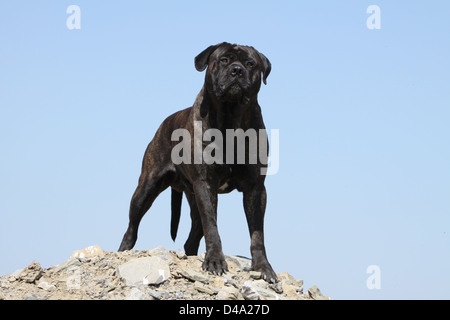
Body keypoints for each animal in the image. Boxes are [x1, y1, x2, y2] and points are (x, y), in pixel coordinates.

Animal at [118, 42, 276, 282]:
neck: (230, 119)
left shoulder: (255, 188)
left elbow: (257, 233)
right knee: (132, 227)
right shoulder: (205, 184)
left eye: (250, 64)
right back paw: (122, 251)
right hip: (146, 188)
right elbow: (212, 225)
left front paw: (263, 267)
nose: (237, 70)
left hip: (192, 197)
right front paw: (215, 261)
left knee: (192, 237)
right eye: (224, 60)